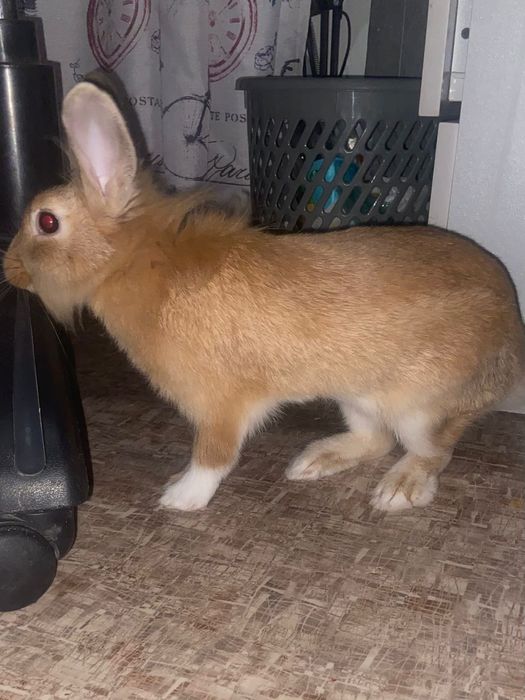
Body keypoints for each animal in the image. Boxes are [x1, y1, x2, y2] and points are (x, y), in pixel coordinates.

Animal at [4, 81, 525, 513]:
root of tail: (513, 339)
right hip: (354, 396)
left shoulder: (221, 406)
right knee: (375, 439)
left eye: (46, 222)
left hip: (419, 408)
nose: (7, 268)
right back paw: (313, 461)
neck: (140, 262)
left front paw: (179, 498)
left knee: (432, 451)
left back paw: (399, 490)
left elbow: (213, 456)